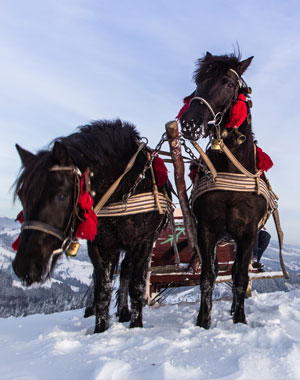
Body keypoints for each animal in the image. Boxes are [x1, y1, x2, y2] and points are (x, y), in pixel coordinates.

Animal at [11, 119, 170, 332]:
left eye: (61, 195)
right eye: (22, 196)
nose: (25, 266)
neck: (121, 190)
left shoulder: (144, 241)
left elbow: (136, 285)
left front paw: (136, 325)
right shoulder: (99, 243)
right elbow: (102, 287)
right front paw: (100, 327)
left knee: (126, 272)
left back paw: (124, 312)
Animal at [180, 52, 268, 328]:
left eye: (228, 84)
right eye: (198, 80)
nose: (190, 123)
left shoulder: (248, 233)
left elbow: (240, 278)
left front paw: (239, 319)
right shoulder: (206, 230)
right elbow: (208, 276)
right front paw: (203, 321)